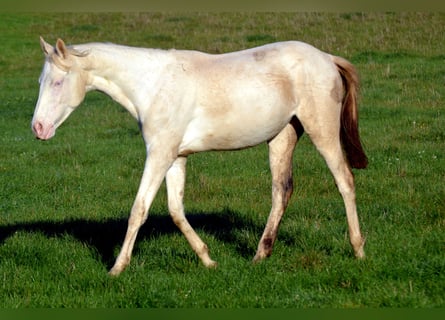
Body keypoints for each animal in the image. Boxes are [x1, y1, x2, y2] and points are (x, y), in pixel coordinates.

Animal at [31, 37, 366, 276]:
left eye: (58, 82)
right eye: (40, 82)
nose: (38, 128)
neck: (153, 85)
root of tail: (327, 58)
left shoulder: (159, 154)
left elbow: (139, 209)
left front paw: (117, 268)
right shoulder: (175, 157)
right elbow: (176, 210)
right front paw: (208, 260)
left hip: (322, 133)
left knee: (345, 182)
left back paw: (358, 250)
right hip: (282, 137)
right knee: (281, 191)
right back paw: (260, 255)